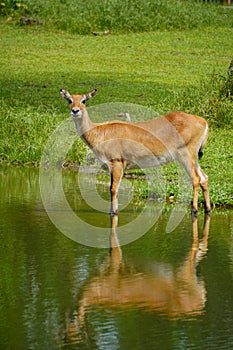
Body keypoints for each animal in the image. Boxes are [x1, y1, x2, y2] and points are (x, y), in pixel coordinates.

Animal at [60, 89, 211, 215]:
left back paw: (194, 210)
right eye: (69, 100)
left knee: (195, 179)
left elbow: (113, 189)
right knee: (204, 177)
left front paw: (113, 212)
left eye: (84, 100)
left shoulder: (117, 163)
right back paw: (208, 209)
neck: (99, 133)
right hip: (194, 158)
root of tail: (203, 121)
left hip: (186, 155)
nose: (75, 110)